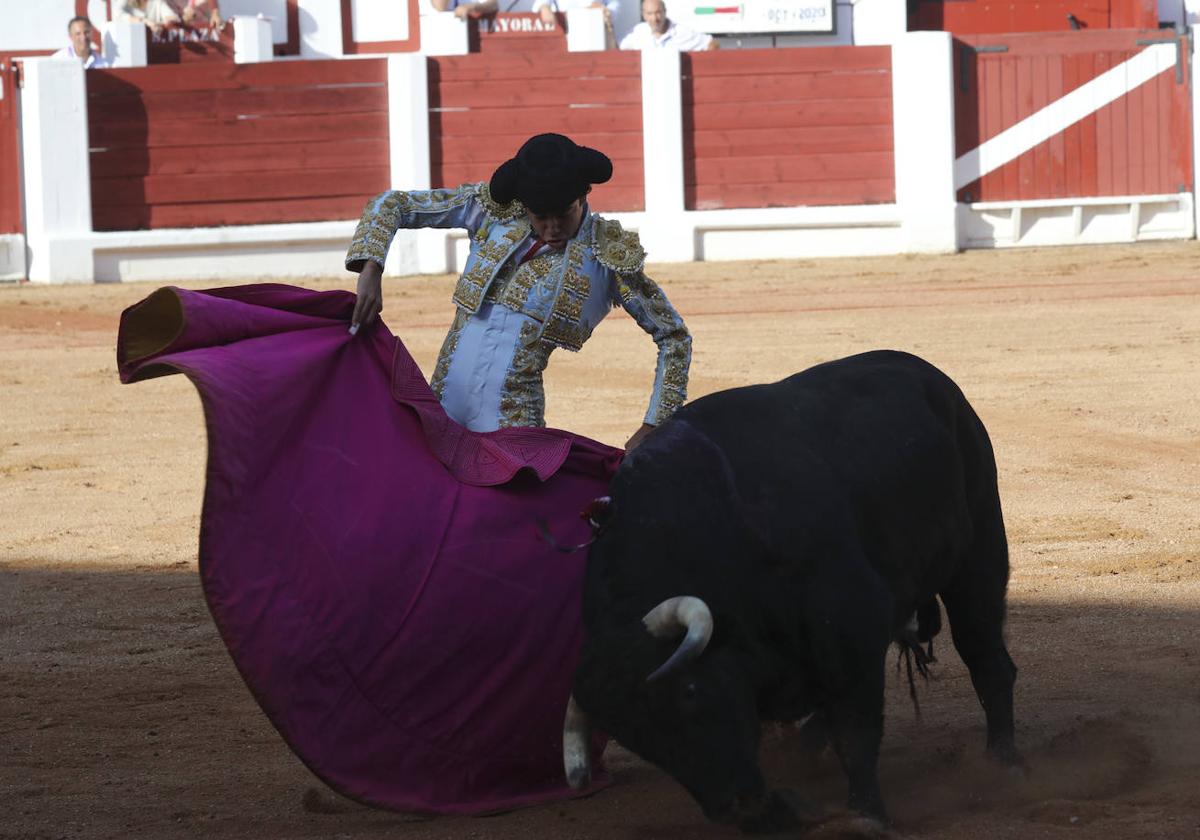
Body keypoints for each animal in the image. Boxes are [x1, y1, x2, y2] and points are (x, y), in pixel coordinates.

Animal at [566, 350, 1017, 830]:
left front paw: (866, 814)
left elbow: (854, 732)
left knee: (986, 656)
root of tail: (932, 377)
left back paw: (1003, 763)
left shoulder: (852, 626)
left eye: (689, 691)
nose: (735, 808)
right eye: (639, 742)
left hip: (979, 553)